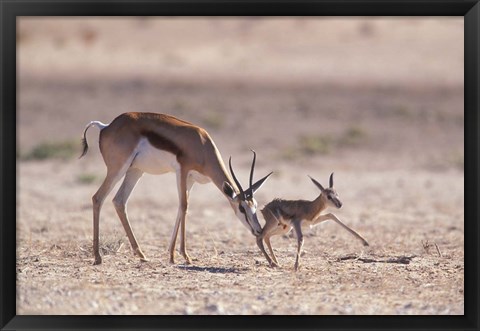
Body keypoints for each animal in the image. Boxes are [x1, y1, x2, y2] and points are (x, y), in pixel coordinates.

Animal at [80, 113, 272, 266]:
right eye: (242, 208)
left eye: (255, 206)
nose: (258, 230)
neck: (202, 144)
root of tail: (106, 126)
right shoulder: (182, 171)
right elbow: (184, 206)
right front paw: (185, 256)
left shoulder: (190, 179)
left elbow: (181, 208)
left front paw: (172, 256)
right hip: (118, 168)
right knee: (98, 198)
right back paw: (97, 257)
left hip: (135, 171)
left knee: (119, 201)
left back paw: (141, 255)